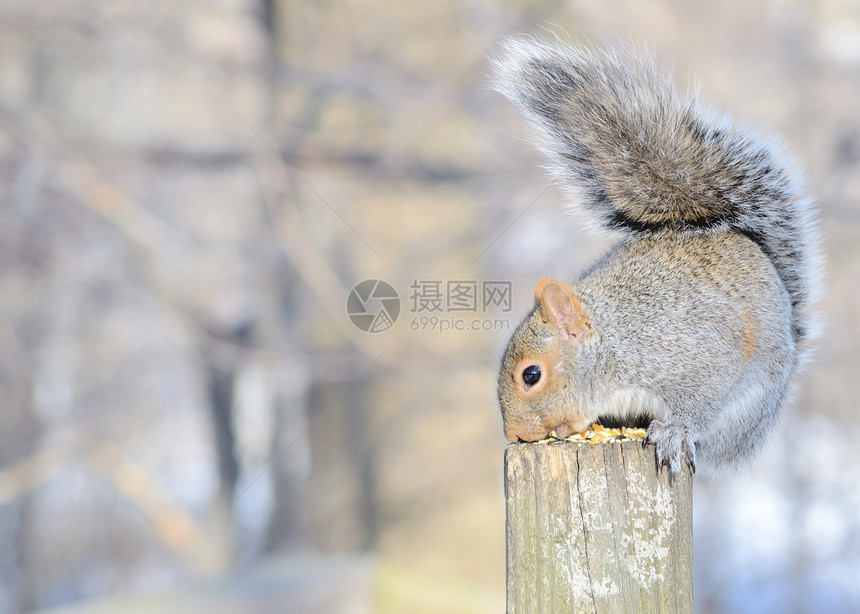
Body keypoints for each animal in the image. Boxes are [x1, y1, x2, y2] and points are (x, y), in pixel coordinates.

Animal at [494, 37, 824, 476]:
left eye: (531, 375)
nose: (514, 435)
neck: (617, 340)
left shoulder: (694, 355)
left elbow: (701, 399)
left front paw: (675, 431)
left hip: (744, 413)